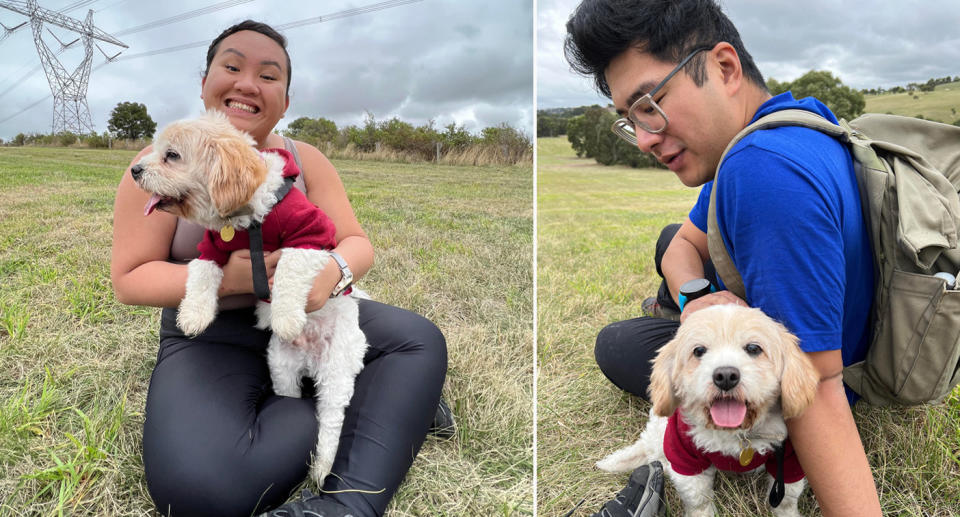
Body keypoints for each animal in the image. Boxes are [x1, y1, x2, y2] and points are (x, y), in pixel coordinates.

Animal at [134, 111, 372, 486]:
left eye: (171, 155)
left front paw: (286, 317)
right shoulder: (212, 249)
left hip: (337, 374)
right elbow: (200, 276)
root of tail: (311, 361)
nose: (134, 170)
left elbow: (288, 269)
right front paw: (194, 316)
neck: (246, 219)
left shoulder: (311, 238)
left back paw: (322, 469)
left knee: (331, 422)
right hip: (282, 368)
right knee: (291, 396)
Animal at [600, 304, 816, 512]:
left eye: (753, 348)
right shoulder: (683, 456)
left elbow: (786, 499)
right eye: (699, 351)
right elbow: (699, 500)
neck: (735, 434)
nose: (726, 376)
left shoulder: (788, 460)